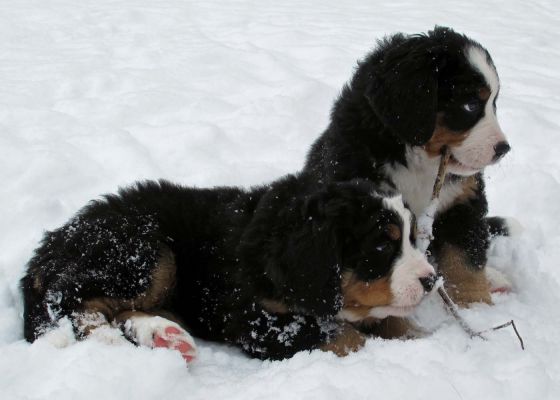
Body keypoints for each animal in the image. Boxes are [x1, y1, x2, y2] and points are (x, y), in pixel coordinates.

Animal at [21, 178, 436, 362]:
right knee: (68, 297)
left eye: (412, 237)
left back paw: (163, 336)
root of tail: (57, 238)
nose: (432, 280)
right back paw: (108, 340)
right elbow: (345, 335)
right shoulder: (255, 318)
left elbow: (391, 321)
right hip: (145, 251)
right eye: (381, 245)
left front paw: (420, 337)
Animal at [302, 26, 512, 304]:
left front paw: (477, 306)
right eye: (471, 105)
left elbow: (466, 260)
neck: (421, 164)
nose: (503, 149)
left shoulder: (463, 201)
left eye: (494, 104)